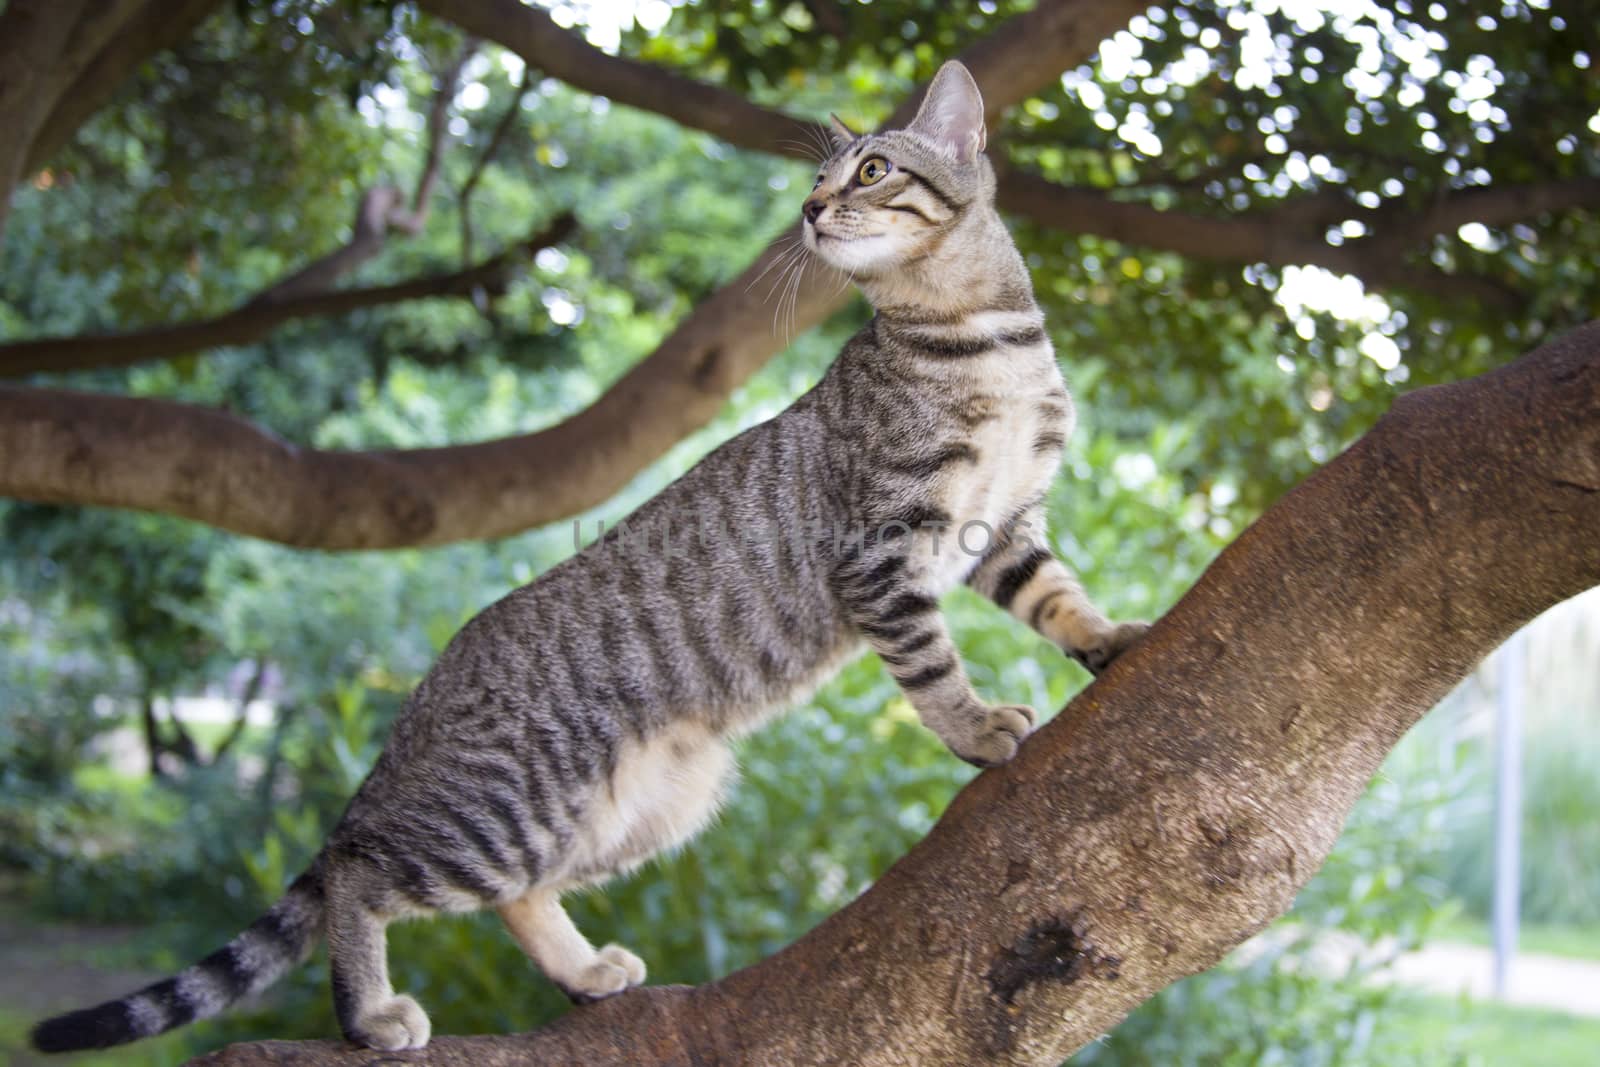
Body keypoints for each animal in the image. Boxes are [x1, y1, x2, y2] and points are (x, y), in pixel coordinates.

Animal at [31, 62, 1145, 1055]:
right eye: (820, 180)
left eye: (869, 170)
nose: (811, 209)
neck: (982, 337)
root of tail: (423, 698)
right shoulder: (882, 548)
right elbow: (931, 664)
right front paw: (974, 725)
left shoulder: (1003, 525)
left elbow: (1055, 595)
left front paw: (1108, 636)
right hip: (501, 811)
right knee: (356, 864)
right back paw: (371, 1011)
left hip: (646, 807)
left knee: (515, 892)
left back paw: (578, 969)